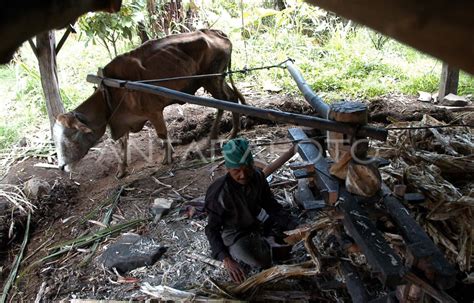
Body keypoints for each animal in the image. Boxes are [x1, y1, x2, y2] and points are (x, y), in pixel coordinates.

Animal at [53, 28, 244, 178]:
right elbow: (123, 144)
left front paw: (167, 158)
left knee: (226, 101)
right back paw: (227, 133)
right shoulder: (123, 120)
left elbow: (162, 133)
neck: (109, 93)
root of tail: (216, 32)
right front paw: (122, 170)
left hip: (212, 79)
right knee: (232, 98)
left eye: (70, 136)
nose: (61, 167)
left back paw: (223, 135)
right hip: (216, 79)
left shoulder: (153, 111)